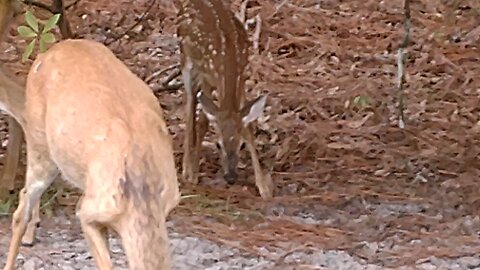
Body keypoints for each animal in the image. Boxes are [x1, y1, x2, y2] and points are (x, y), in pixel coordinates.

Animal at [177, 0, 274, 198]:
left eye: (242, 145)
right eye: (218, 145)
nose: (230, 177)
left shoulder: (242, 75)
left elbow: (249, 126)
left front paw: (263, 187)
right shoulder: (206, 75)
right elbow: (203, 122)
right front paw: (194, 174)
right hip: (186, 60)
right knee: (189, 106)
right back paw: (186, 168)